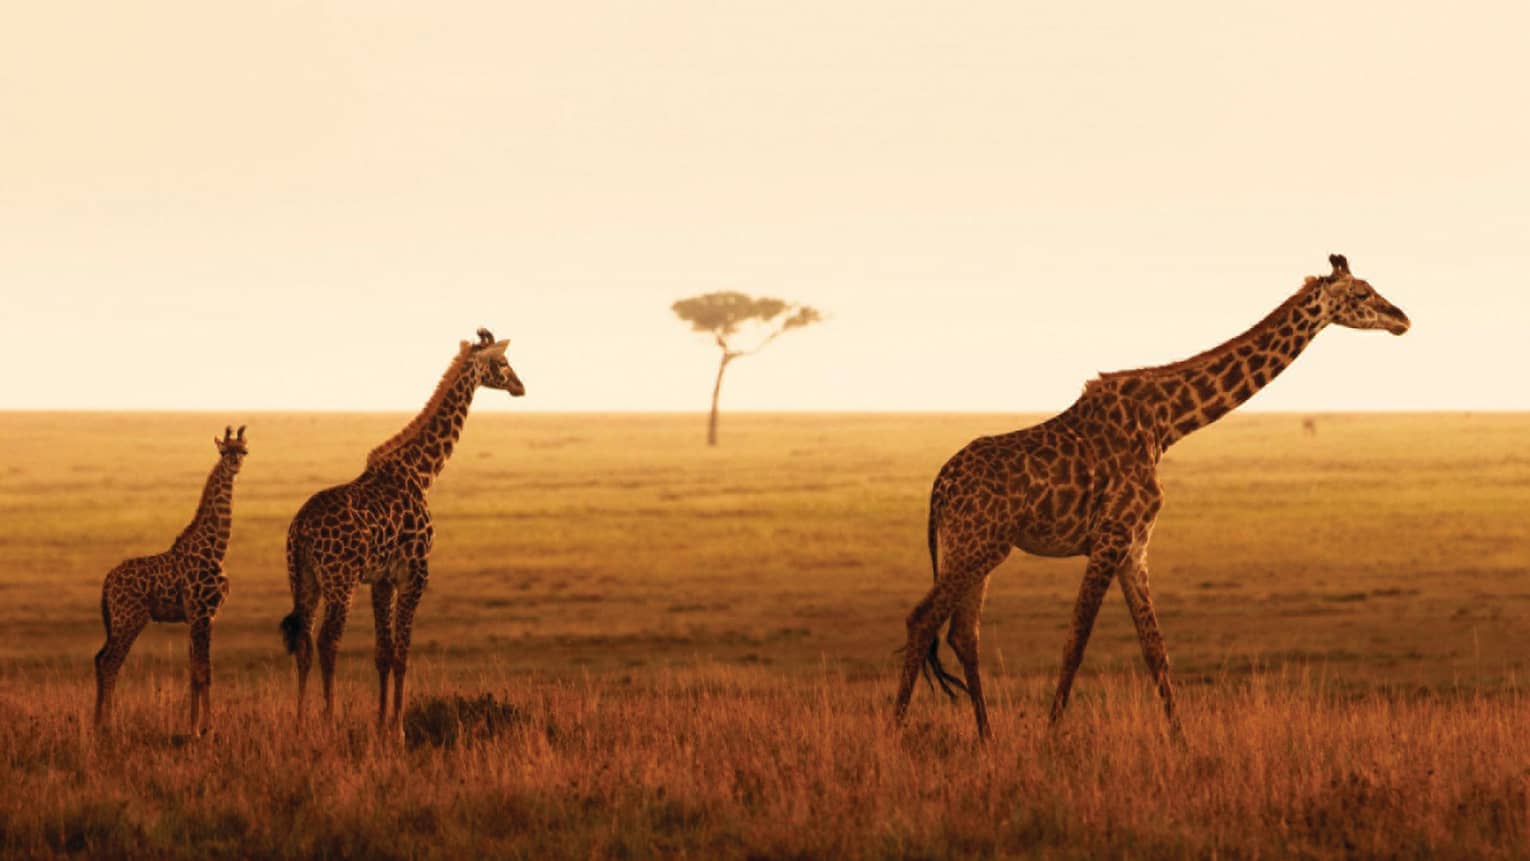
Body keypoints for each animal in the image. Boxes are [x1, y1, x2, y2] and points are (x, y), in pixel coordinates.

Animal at [95, 425, 248, 734]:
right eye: (224, 451)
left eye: (244, 450)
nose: (235, 464)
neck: (216, 549)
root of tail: (107, 582)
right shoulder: (203, 614)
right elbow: (204, 671)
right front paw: (208, 729)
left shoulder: (198, 617)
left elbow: (194, 672)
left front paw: (193, 727)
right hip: (130, 618)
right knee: (109, 662)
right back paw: (108, 726)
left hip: (116, 621)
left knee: (99, 659)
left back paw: (96, 723)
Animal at [280, 328, 525, 733]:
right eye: (503, 362)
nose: (521, 386)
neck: (421, 472)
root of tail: (300, 529)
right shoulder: (415, 572)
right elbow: (403, 651)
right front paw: (397, 728)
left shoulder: (382, 579)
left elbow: (383, 652)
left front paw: (381, 724)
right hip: (340, 580)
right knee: (328, 641)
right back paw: (329, 720)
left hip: (304, 578)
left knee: (303, 642)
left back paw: (300, 723)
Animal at [895, 255, 1410, 739]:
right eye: (1362, 294)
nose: (1402, 318)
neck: (1166, 424)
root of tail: (938, 488)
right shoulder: (1111, 536)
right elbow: (1077, 639)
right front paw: (1049, 738)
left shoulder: (1135, 545)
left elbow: (1155, 649)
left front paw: (1181, 742)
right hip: (977, 544)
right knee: (923, 619)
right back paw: (896, 733)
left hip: (974, 548)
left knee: (964, 634)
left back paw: (986, 738)